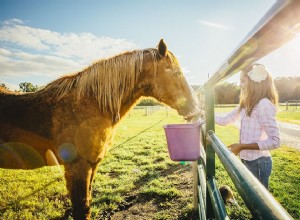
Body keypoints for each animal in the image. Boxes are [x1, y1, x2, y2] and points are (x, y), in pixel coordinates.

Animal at [0, 38, 199, 219]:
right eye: (176, 73)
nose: (195, 106)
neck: (87, 106)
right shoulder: (77, 167)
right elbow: (81, 209)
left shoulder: (92, 165)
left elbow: (87, 203)